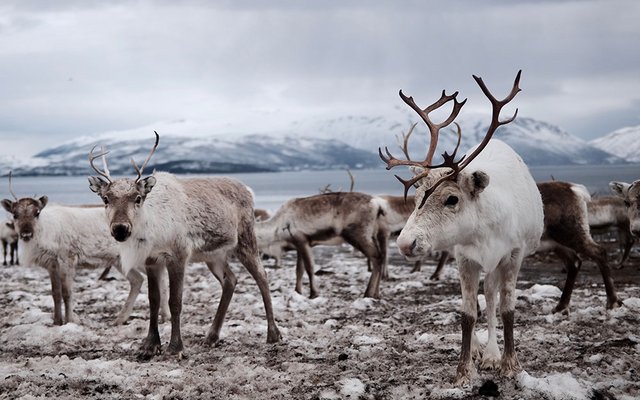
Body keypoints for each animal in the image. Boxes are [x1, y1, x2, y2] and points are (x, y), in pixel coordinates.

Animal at [1, 173, 170, 326]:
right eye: (15, 215)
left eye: (37, 213)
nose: (26, 234)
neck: (44, 233)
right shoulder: (51, 265)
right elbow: (55, 293)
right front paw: (56, 321)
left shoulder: (67, 258)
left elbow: (67, 292)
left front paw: (70, 320)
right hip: (120, 262)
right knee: (138, 280)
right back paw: (121, 319)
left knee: (160, 279)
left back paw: (164, 317)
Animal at [87, 132, 281, 360]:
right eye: (105, 199)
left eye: (138, 198)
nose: (120, 229)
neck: (153, 229)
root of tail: (249, 190)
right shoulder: (152, 260)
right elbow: (154, 300)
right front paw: (149, 345)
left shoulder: (178, 255)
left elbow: (175, 302)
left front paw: (175, 347)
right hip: (213, 255)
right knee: (230, 280)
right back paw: (212, 336)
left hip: (245, 239)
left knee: (262, 276)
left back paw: (273, 334)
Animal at [254, 192, 388, 298]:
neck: (275, 230)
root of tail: (378, 205)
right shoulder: (298, 245)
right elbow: (299, 270)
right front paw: (298, 292)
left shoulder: (302, 240)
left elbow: (309, 268)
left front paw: (314, 293)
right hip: (372, 234)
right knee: (381, 256)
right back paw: (376, 293)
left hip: (358, 234)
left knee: (376, 256)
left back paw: (368, 293)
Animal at [380, 71, 544, 386]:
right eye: (416, 197)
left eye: (452, 198)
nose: (405, 243)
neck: (484, 229)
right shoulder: (464, 258)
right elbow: (467, 314)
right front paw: (464, 371)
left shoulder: (513, 255)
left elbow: (507, 309)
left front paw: (510, 364)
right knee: (483, 300)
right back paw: (482, 351)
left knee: (491, 298)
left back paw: (492, 354)